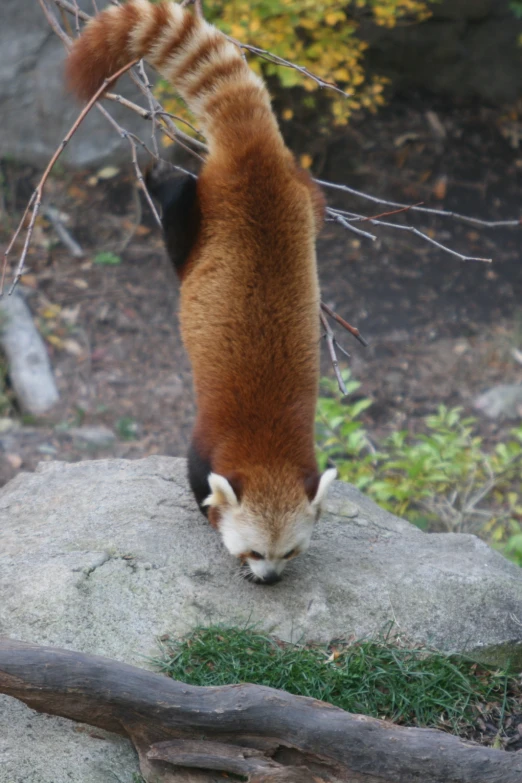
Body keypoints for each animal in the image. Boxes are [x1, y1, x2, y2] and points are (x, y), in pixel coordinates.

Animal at [66, 0, 334, 584]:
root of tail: (254, 156)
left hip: (302, 194)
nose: (271, 581)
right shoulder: (207, 440)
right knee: (179, 209)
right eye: (252, 552)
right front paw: (205, 510)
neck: (266, 444)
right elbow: (196, 479)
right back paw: (161, 176)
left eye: (289, 553)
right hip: (205, 212)